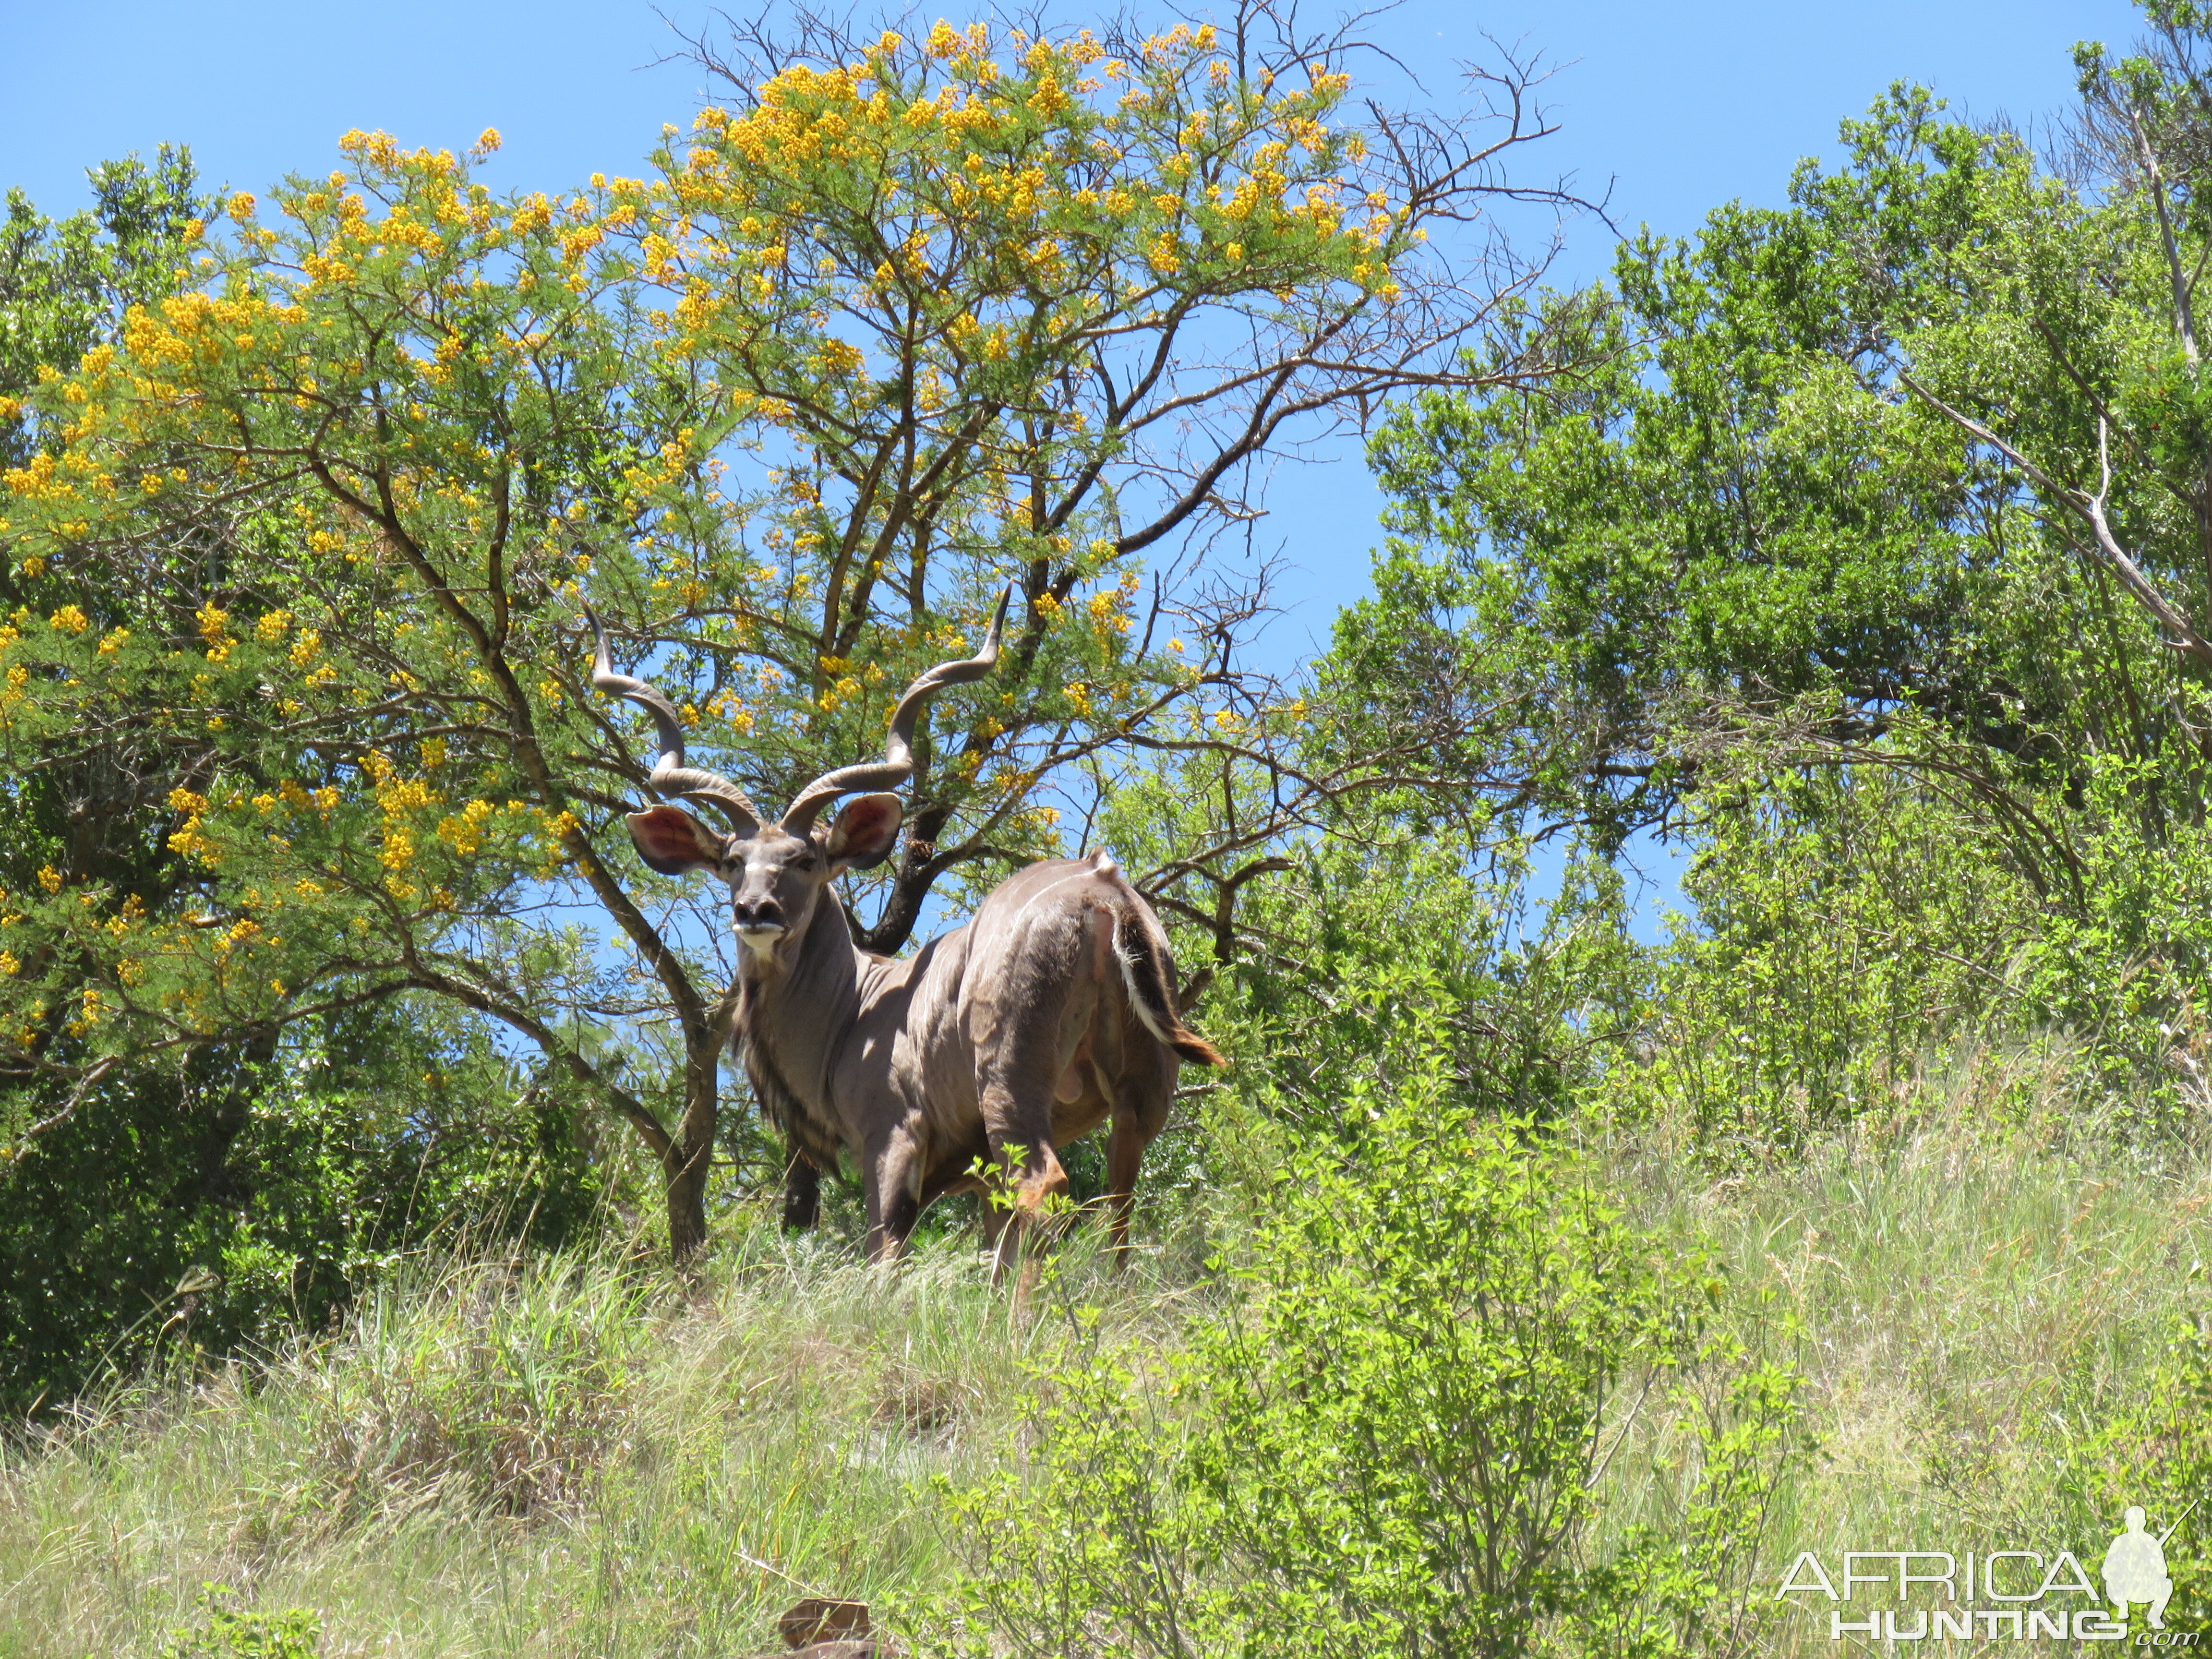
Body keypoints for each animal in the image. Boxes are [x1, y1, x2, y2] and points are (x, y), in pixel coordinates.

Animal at [588, 592, 1230, 1265]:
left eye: (805, 860)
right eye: (733, 861)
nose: (755, 911)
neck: (857, 1008)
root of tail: (1103, 890)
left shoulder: (893, 1137)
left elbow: (884, 1250)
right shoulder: (975, 1174)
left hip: (1010, 1085)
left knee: (1046, 1188)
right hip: (1138, 1102)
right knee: (1117, 1217)